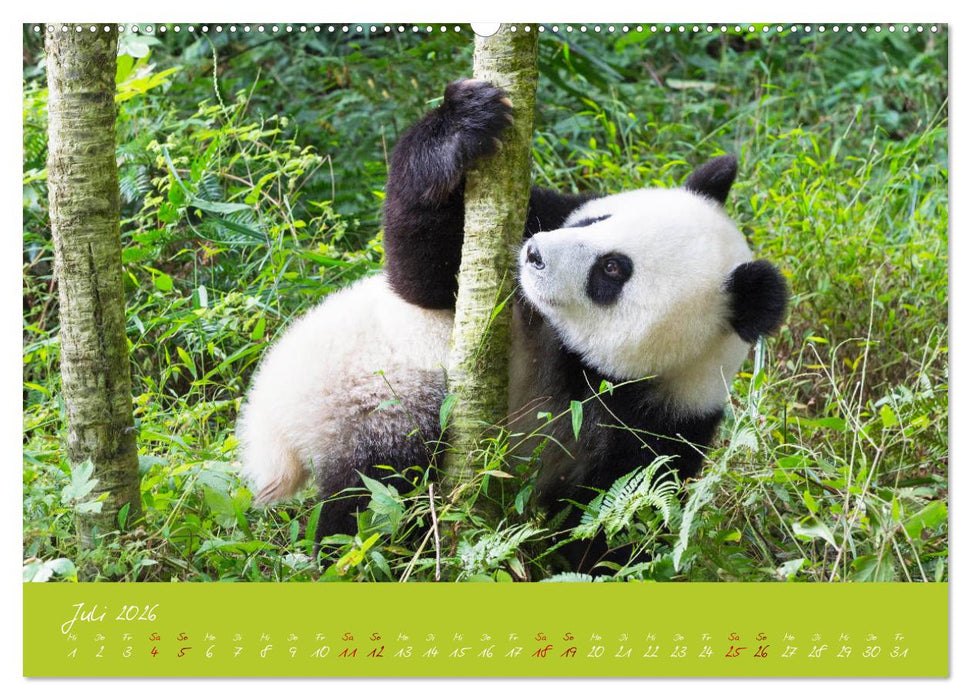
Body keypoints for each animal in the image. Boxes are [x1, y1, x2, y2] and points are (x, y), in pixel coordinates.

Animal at [236, 79, 788, 572]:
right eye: (597, 220)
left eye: (612, 269)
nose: (534, 254)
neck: (581, 363)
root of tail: (278, 431)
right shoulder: (530, 229)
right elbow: (423, 274)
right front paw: (464, 123)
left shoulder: (668, 421)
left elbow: (616, 524)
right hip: (366, 388)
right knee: (380, 495)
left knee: (377, 494)